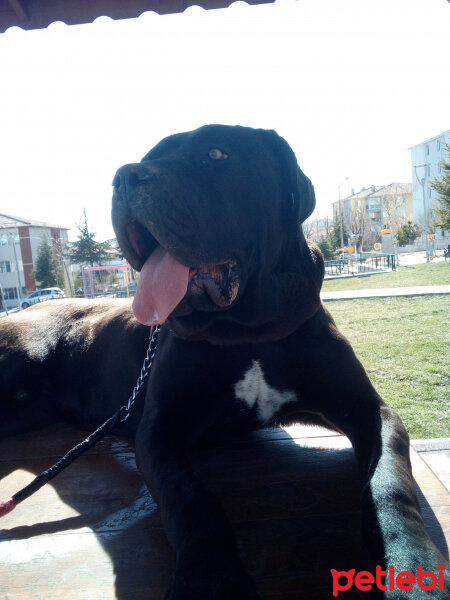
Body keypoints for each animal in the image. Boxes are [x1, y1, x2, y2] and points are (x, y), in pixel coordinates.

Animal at [0, 124, 448, 596]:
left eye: (216, 154)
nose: (124, 177)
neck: (246, 331)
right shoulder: (159, 429)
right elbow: (190, 498)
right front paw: (210, 579)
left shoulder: (368, 409)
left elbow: (390, 482)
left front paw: (412, 568)